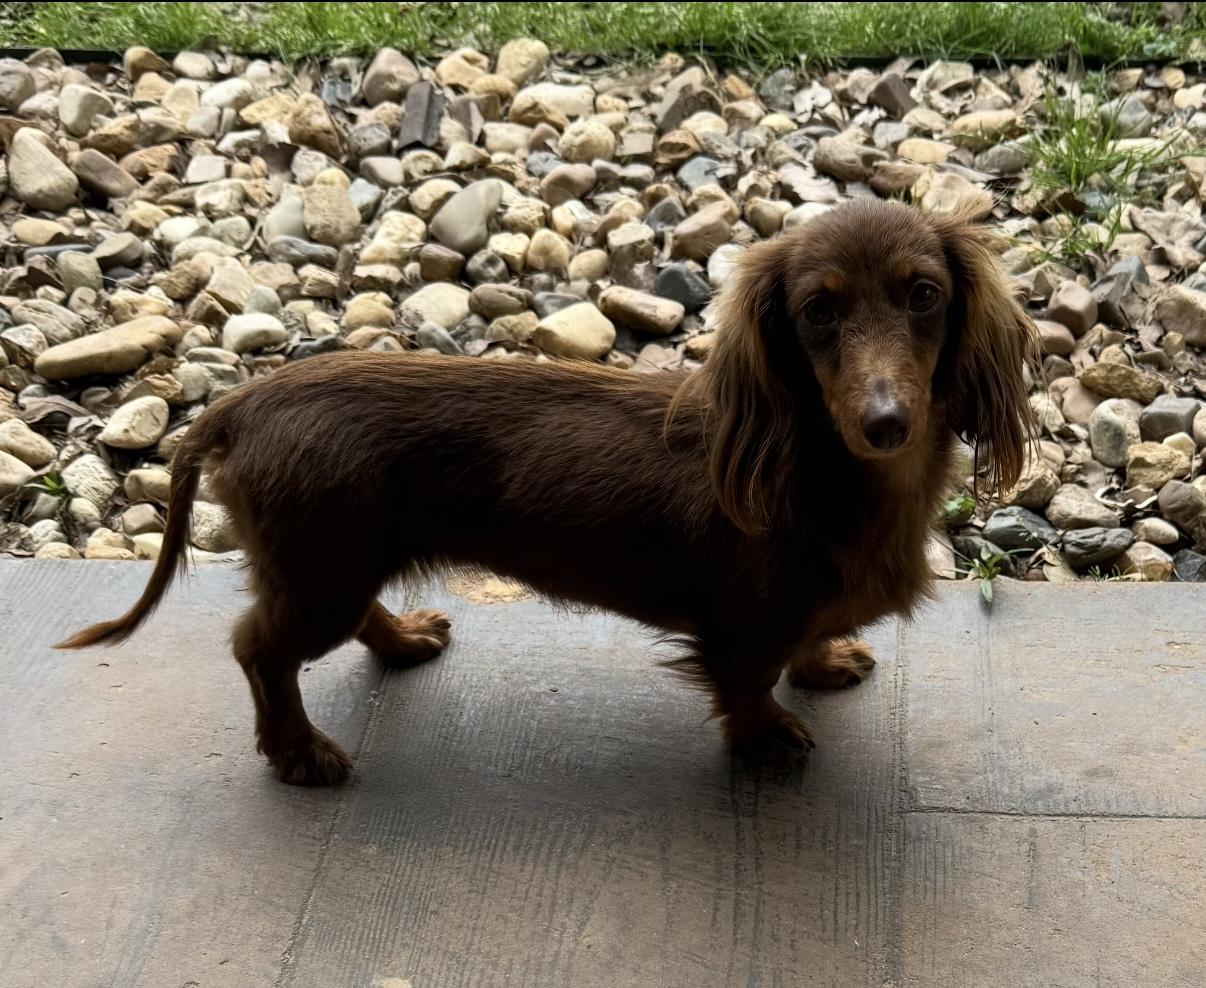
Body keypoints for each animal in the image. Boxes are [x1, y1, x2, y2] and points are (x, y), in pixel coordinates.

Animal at [59, 199, 1037, 786]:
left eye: (923, 295)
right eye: (818, 313)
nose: (885, 421)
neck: (832, 475)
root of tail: (240, 404)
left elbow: (802, 647)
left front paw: (825, 659)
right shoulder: (743, 624)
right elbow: (750, 682)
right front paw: (766, 740)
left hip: (341, 560)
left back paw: (404, 640)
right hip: (319, 571)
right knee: (259, 649)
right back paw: (299, 752)